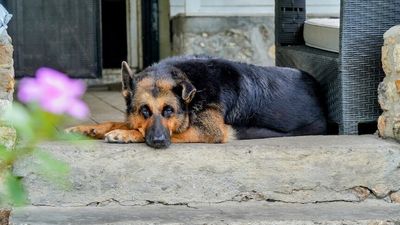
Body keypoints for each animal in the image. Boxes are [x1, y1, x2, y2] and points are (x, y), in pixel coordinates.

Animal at [66, 55, 328, 149]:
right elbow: (119, 121)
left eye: (169, 111)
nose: (159, 142)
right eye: (144, 111)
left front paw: (124, 134)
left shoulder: (209, 130)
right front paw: (88, 128)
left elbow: (141, 130)